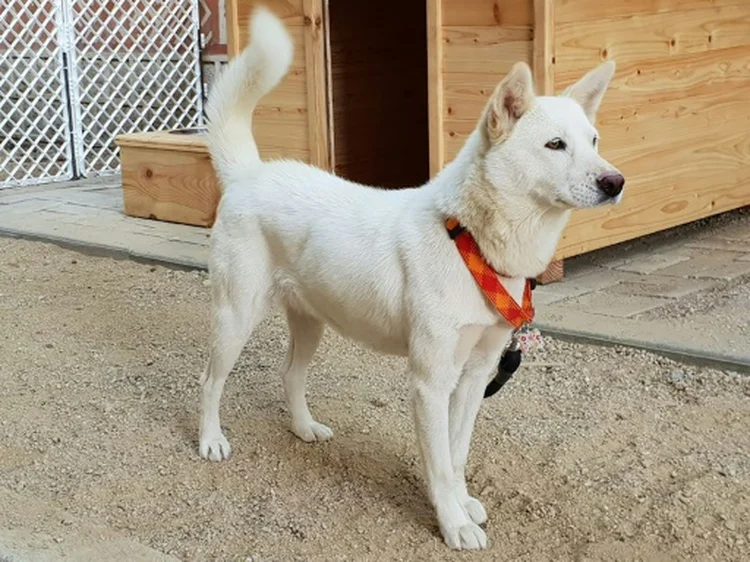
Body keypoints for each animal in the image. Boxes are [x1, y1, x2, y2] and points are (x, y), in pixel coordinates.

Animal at [197, 6, 624, 548]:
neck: (469, 238)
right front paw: (453, 524)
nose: (616, 182)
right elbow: (438, 464)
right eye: (555, 145)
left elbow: (457, 454)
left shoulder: (475, 376)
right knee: (210, 380)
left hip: (310, 321)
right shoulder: (430, 382)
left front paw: (462, 504)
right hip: (236, 316)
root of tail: (249, 174)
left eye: (593, 141)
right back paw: (211, 440)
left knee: (290, 374)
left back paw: (304, 429)